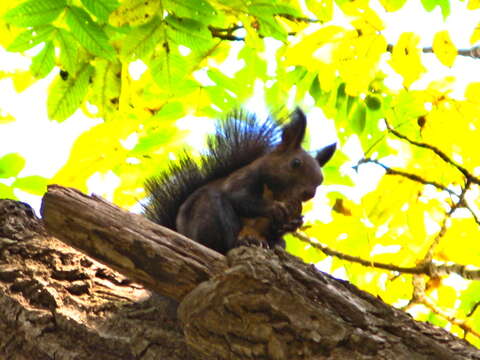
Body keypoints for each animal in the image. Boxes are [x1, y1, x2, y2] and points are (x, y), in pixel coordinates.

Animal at [144, 108, 336, 255]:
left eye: (320, 180)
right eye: (295, 163)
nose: (309, 193)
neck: (275, 193)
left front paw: (293, 222)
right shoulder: (243, 179)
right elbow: (240, 199)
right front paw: (274, 208)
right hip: (209, 214)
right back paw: (242, 242)